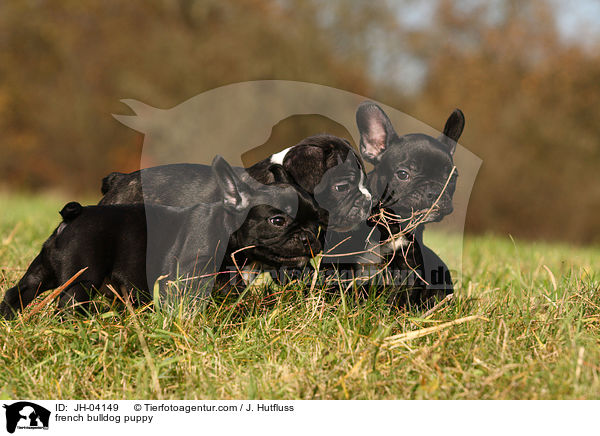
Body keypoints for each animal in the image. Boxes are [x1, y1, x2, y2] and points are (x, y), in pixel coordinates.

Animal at [0, 155, 322, 318]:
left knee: (19, 292)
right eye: (278, 221)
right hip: (82, 278)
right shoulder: (187, 277)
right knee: (68, 304)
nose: (309, 237)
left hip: (42, 270)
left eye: (319, 220)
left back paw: (9, 319)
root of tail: (72, 216)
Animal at [324, 102, 464, 306]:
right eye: (403, 174)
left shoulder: (407, 266)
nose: (435, 191)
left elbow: (399, 296)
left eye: (452, 177)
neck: (395, 224)